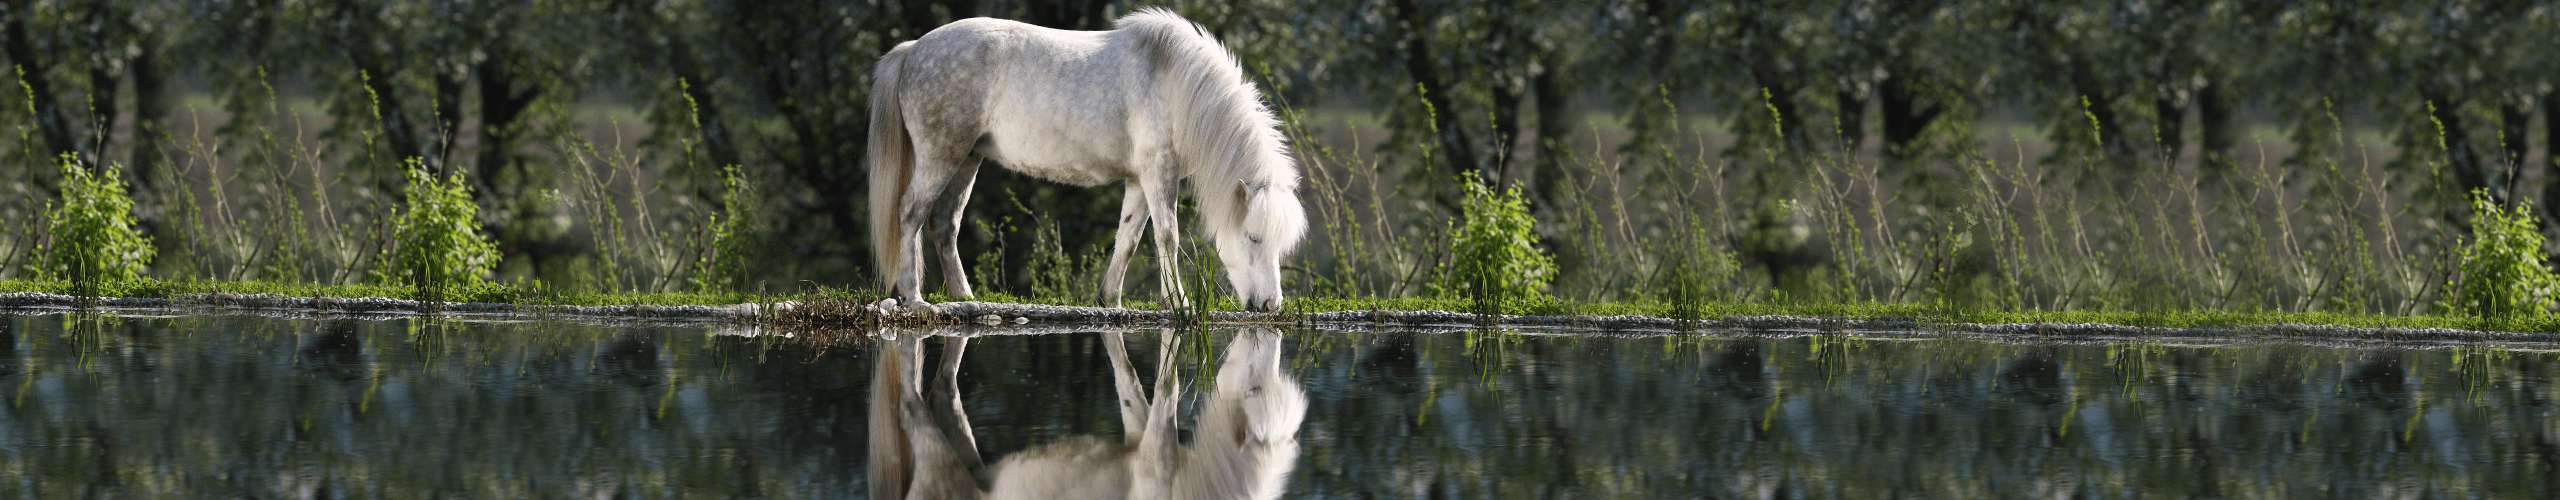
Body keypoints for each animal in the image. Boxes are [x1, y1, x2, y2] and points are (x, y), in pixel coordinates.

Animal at [870, 7, 1310, 310]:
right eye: (1253, 237)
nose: (1270, 305)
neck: (1174, 84)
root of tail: (913, 50)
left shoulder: (1140, 179)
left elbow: (1128, 238)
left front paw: (1109, 299)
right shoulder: (1159, 173)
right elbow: (1167, 236)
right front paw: (1178, 302)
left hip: (967, 159)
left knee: (945, 224)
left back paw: (965, 298)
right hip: (940, 155)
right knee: (910, 214)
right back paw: (914, 298)